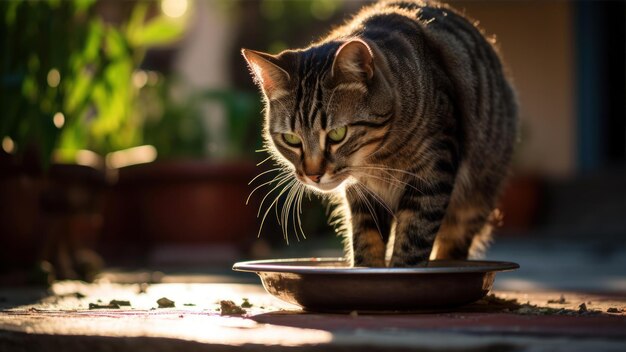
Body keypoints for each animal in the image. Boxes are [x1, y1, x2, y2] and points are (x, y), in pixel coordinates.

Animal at [241, 0, 516, 266]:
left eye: (338, 134)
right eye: (291, 139)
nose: (313, 175)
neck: (380, 159)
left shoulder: (433, 171)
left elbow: (413, 242)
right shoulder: (363, 195)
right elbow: (366, 241)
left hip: (474, 198)